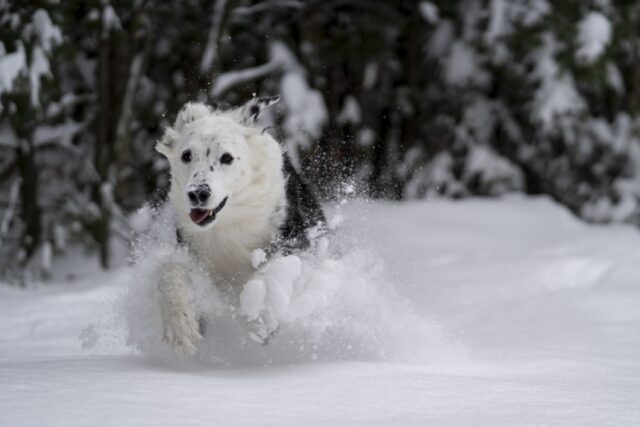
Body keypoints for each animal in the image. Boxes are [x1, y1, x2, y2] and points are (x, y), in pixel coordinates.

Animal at [154, 97, 324, 354]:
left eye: (227, 157)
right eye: (186, 156)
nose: (197, 193)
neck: (229, 222)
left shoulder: (297, 241)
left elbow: (269, 271)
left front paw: (260, 315)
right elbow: (170, 270)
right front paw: (180, 327)